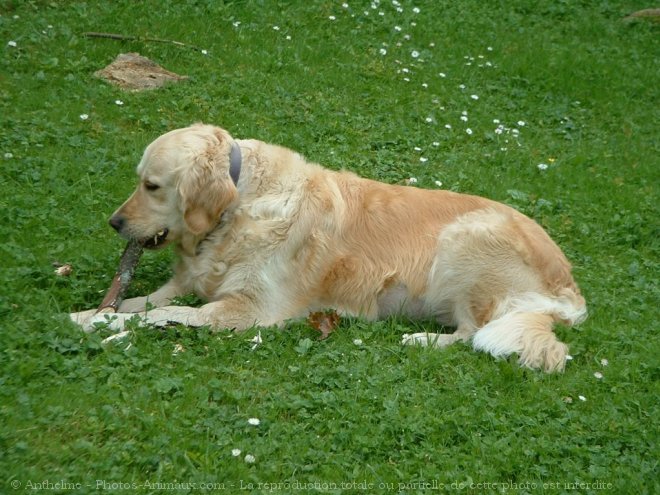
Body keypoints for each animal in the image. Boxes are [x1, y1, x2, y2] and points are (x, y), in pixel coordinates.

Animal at [72, 123, 588, 372]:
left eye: (152, 186)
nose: (114, 223)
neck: (239, 206)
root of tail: (569, 291)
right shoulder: (192, 282)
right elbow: (142, 302)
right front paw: (90, 314)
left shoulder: (252, 310)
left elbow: (161, 314)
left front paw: (105, 324)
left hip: (463, 243)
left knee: (473, 333)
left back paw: (419, 340)